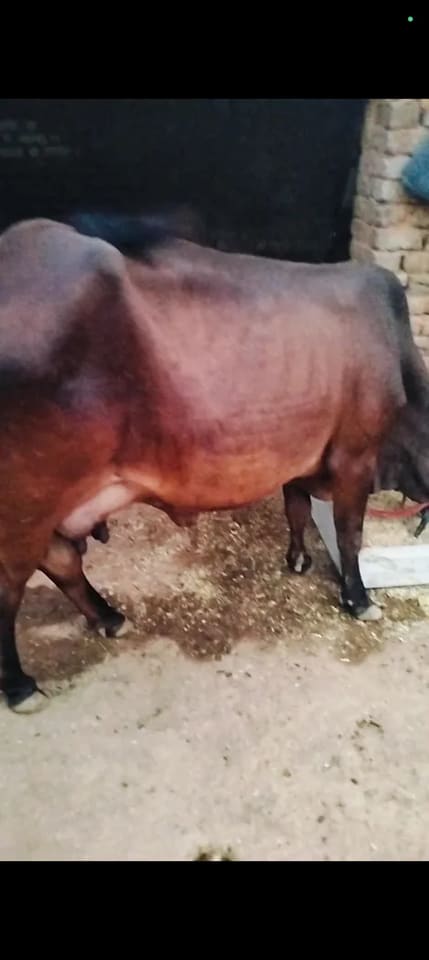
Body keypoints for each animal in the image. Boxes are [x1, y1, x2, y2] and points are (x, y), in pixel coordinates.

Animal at [0, 213, 425, 712]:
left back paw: (109, 617)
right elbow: (350, 536)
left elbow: (296, 509)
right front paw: (358, 600)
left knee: (62, 559)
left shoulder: (303, 461)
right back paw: (21, 686)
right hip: (26, 504)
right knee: (12, 587)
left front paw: (298, 560)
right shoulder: (356, 456)